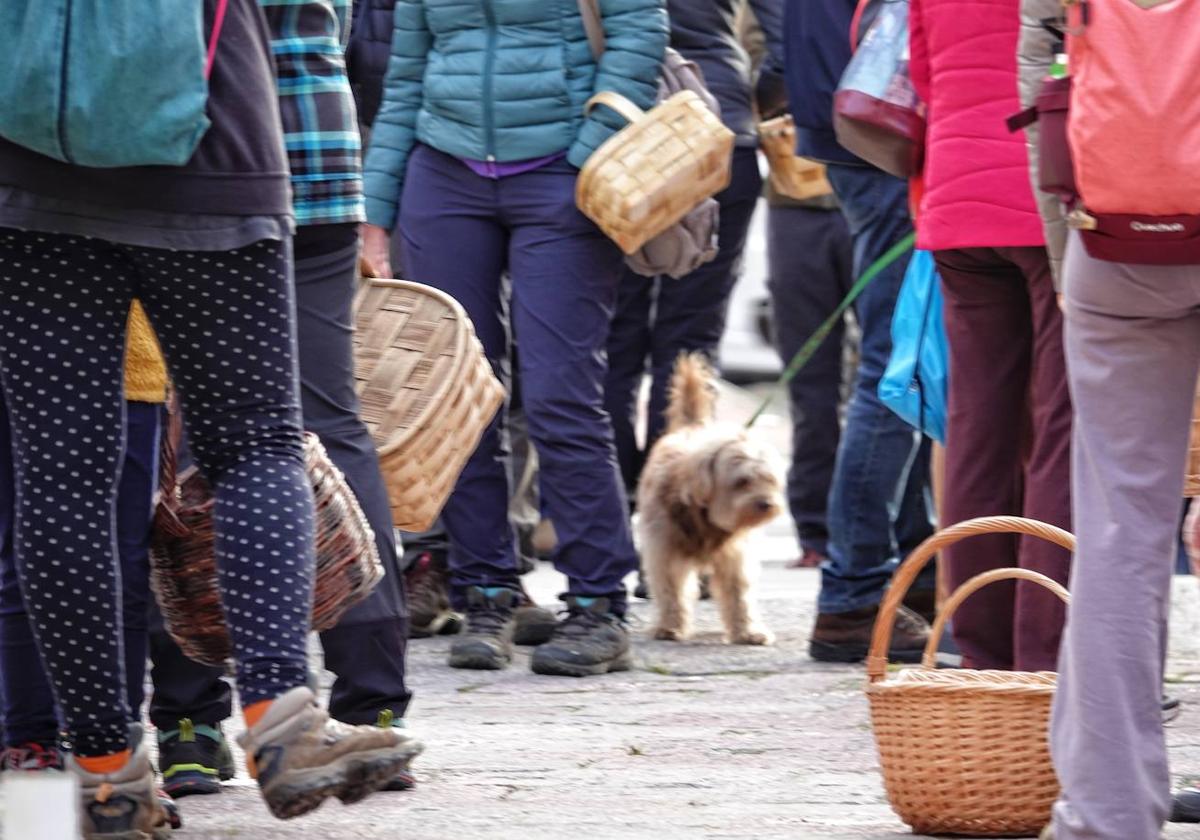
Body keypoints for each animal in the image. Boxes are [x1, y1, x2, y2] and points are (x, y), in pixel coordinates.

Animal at [638, 350, 787, 648]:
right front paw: (670, 626)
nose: (766, 504)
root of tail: (693, 428)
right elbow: (670, 590)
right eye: (742, 482)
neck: (704, 516)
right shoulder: (664, 551)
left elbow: (739, 594)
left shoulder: (736, 557)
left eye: (769, 479)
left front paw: (747, 631)